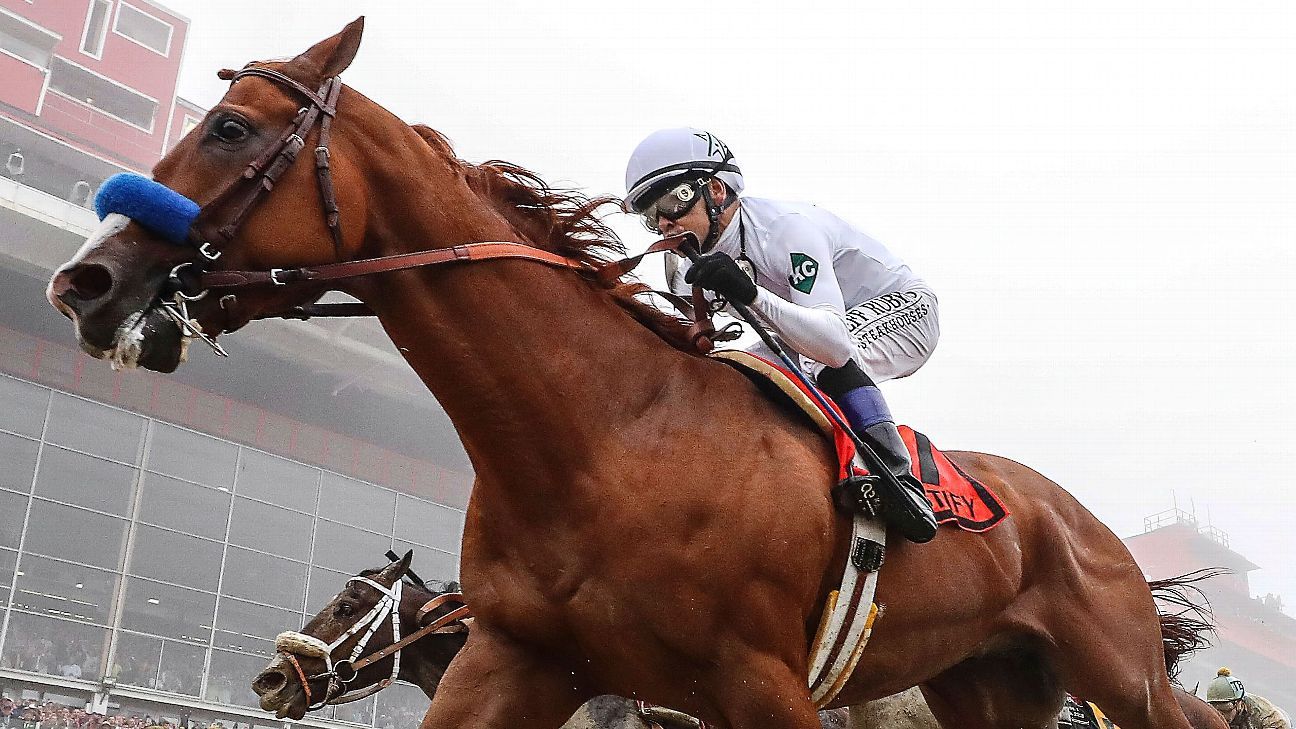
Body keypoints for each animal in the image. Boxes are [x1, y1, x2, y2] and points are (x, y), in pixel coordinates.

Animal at [45, 17, 1207, 726]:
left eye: (231, 127)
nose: (82, 280)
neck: (602, 442)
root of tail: (1091, 525)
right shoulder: (525, 658)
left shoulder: (762, 684)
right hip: (988, 684)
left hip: (1119, 673)